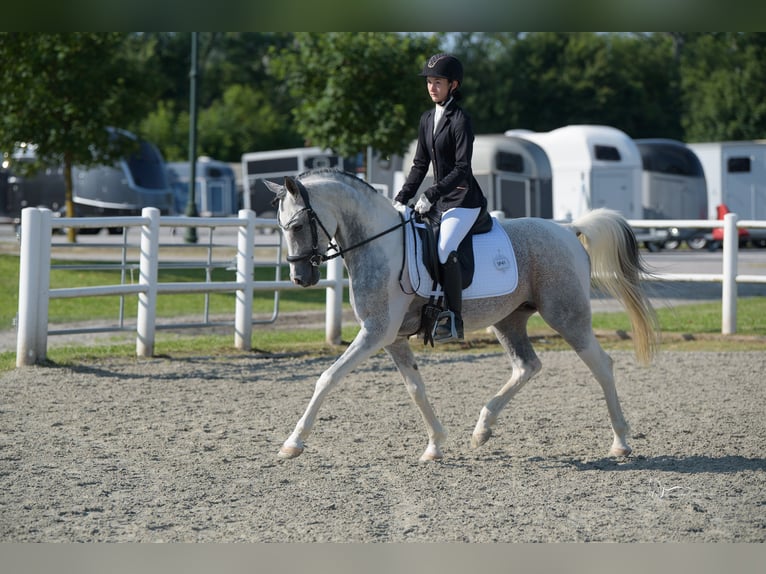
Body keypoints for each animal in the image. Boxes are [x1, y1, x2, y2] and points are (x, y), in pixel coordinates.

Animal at [265, 168, 659, 462]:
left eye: (296, 226)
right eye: (281, 228)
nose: (300, 278)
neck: (381, 245)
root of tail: (567, 230)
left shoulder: (375, 333)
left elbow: (328, 377)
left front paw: (293, 443)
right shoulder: (391, 338)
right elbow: (416, 389)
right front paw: (435, 445)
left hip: (567, 315)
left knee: (601, 365)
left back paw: (621, 442)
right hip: (509, 320)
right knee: (527, 366)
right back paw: (482, 429)